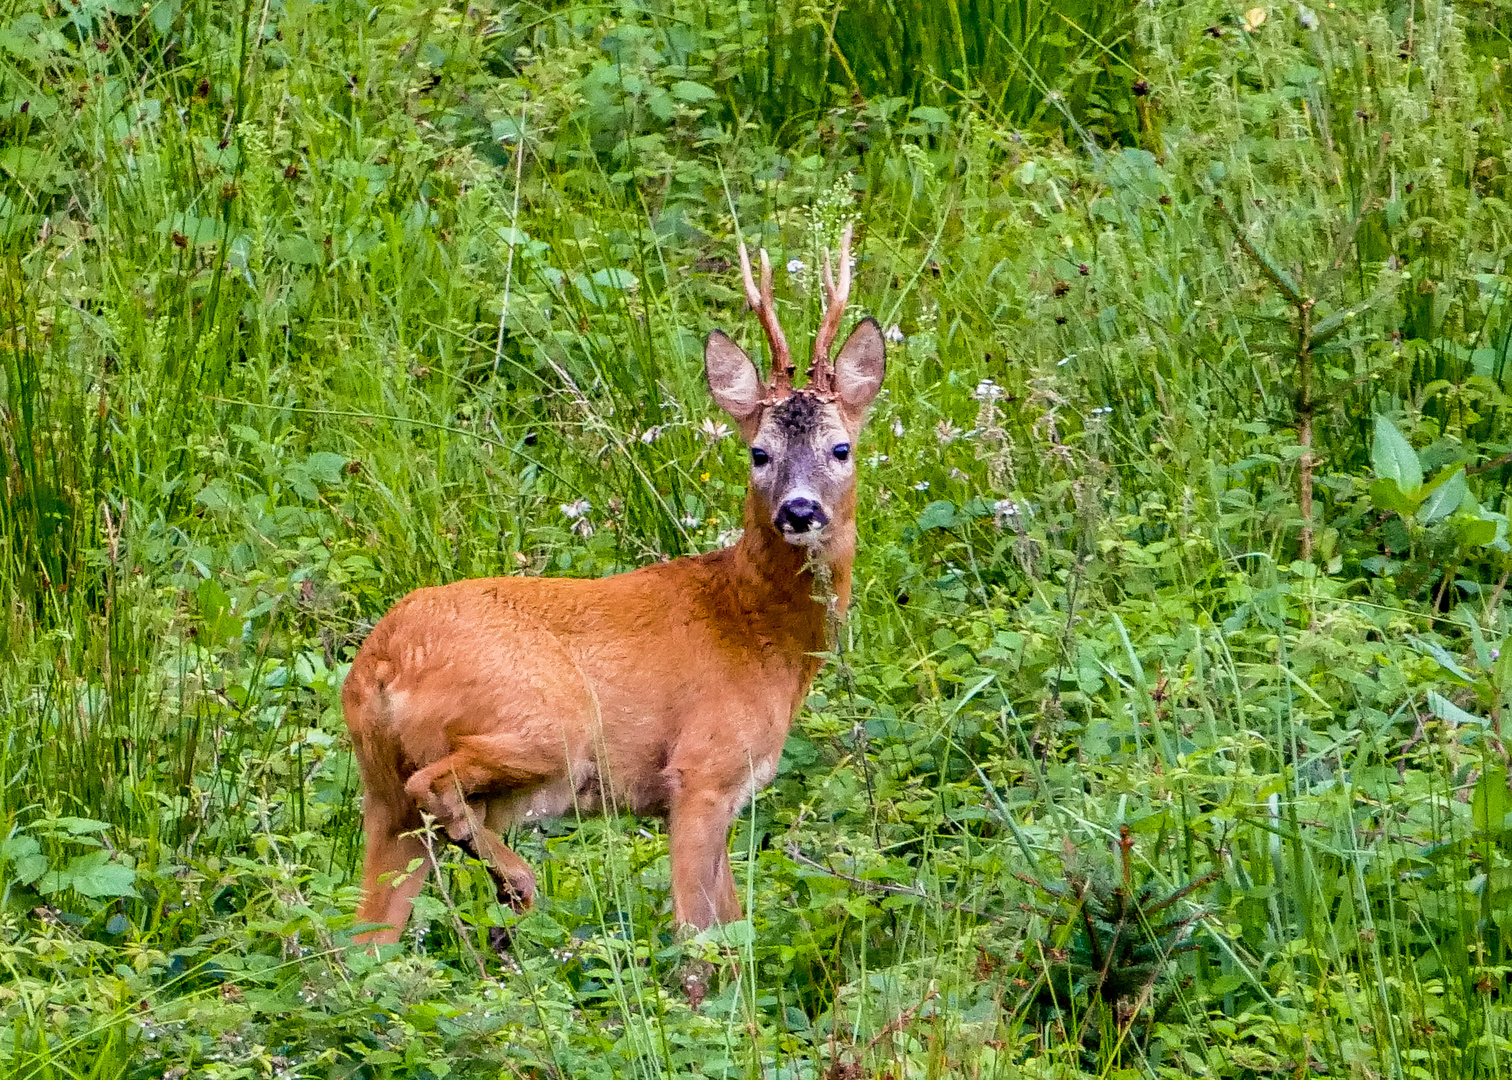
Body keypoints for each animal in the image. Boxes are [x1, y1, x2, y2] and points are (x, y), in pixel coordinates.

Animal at [343, 222, 883, 937]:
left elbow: (731, 927)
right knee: (435, 788)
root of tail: (380, 663)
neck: (760, 633)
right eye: (758, 452)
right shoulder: (700, 771)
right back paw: (517, 884)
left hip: (383, 797)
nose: (799, 510)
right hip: (550, 723)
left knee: (363, 937)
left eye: (840, 448)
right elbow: (698, 935)